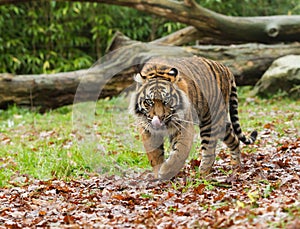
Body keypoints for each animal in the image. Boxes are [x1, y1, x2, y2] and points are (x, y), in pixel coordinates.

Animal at [129, 56, 258, 181]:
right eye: (149, 101)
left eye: (166, 101)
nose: (159, 119)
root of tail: (225, 67)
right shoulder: (147, 129)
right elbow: (154, 155)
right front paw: (158, 175)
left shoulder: (184, 127)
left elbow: (179, 152)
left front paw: (166, 171)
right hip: (221, 124)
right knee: (234, 140)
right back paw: (236, 166)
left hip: (211, 120)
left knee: (209, 151)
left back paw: (203, 174)